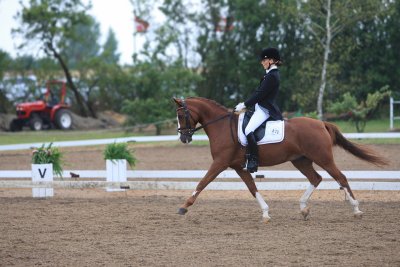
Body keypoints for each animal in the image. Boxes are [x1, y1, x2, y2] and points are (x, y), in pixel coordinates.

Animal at [173, 97, 386, 223]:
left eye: (181, 114)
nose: (184, 138)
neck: (223, 127)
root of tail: (321, 123)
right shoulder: (239, 167)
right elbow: (252, 188)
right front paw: (266, 213)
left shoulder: (220, 163)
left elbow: (202, 182)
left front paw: (184, 207)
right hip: (301, 160)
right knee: (315, 178)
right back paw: (303, 209)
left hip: (322, 158)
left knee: (340, 178)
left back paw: (356, 210)